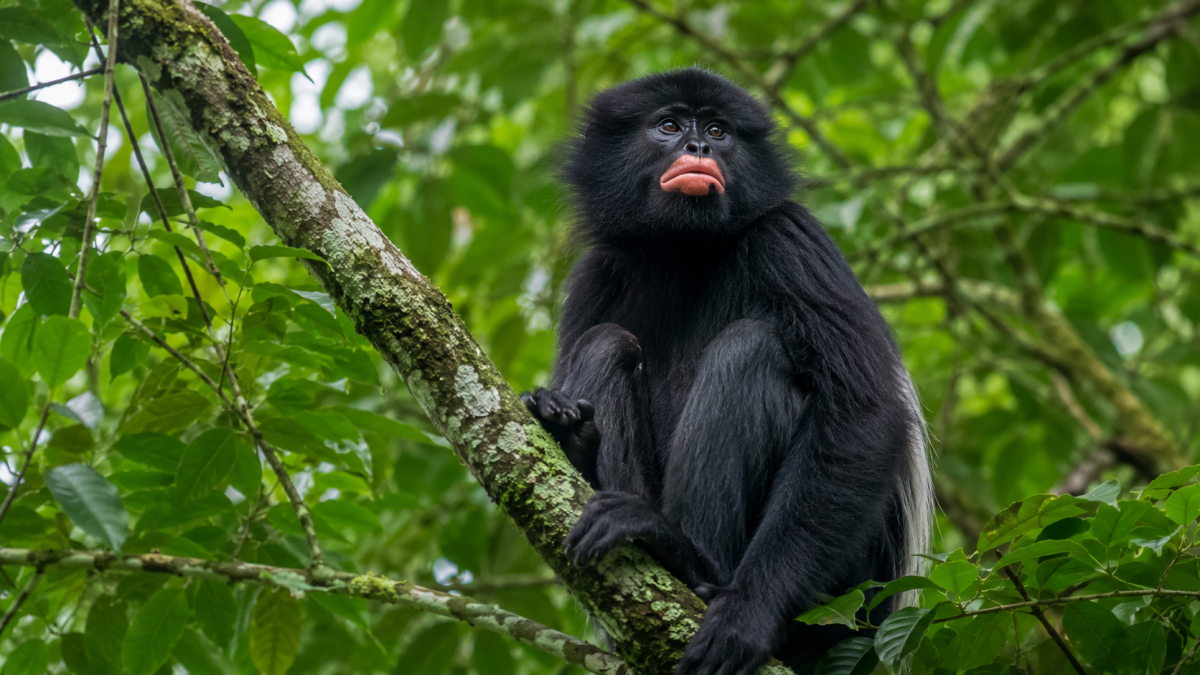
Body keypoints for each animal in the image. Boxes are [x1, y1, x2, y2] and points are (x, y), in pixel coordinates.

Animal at [522, 68, 932, 675]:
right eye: (669, 126)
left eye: (718, 130)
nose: (699, 148)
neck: (684, 253)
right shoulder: (597, 275)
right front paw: (559, 419)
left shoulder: (788, 236)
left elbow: (866, 413)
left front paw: (745, 618)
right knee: (608, 342)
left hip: (852, 587)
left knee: (749, 347)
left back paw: (685, 557)